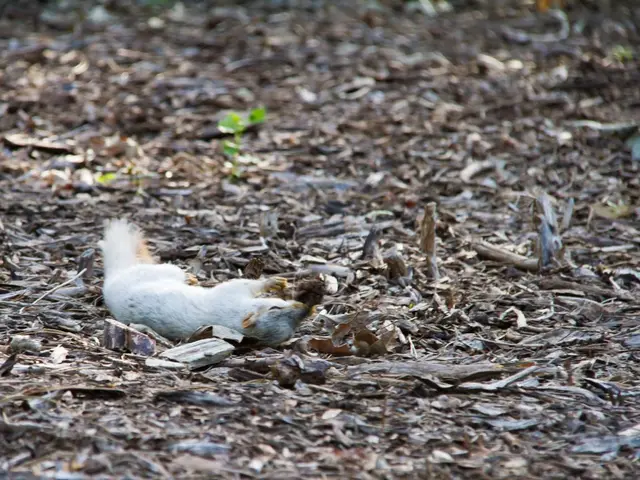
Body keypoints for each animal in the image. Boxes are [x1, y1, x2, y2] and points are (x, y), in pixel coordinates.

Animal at [99, 218, 316, 346]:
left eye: (290, 333)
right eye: (274, 308)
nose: (304, 309)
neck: (233, 320)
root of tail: (111, 282)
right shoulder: (230, 294)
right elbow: (246, 284)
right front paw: (272, 282)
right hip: (155, 271)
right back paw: (188, 277)